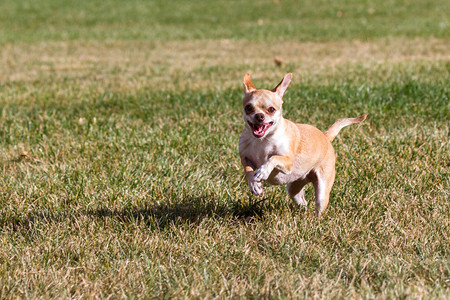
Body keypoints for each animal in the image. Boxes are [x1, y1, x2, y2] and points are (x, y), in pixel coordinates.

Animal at [239, 74, 366, 217]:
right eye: (248, 108)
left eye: (271, 109)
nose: (259, 116)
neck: (262, 141)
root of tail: (325, 136)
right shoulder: (245, 158)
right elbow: (248, 170)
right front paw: (254, 185)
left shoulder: (288, 163)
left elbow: (273, 158)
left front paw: (263, 171)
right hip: (294, 189)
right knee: (303, 202)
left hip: (322, 192)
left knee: (319, 206)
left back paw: (316, 220)